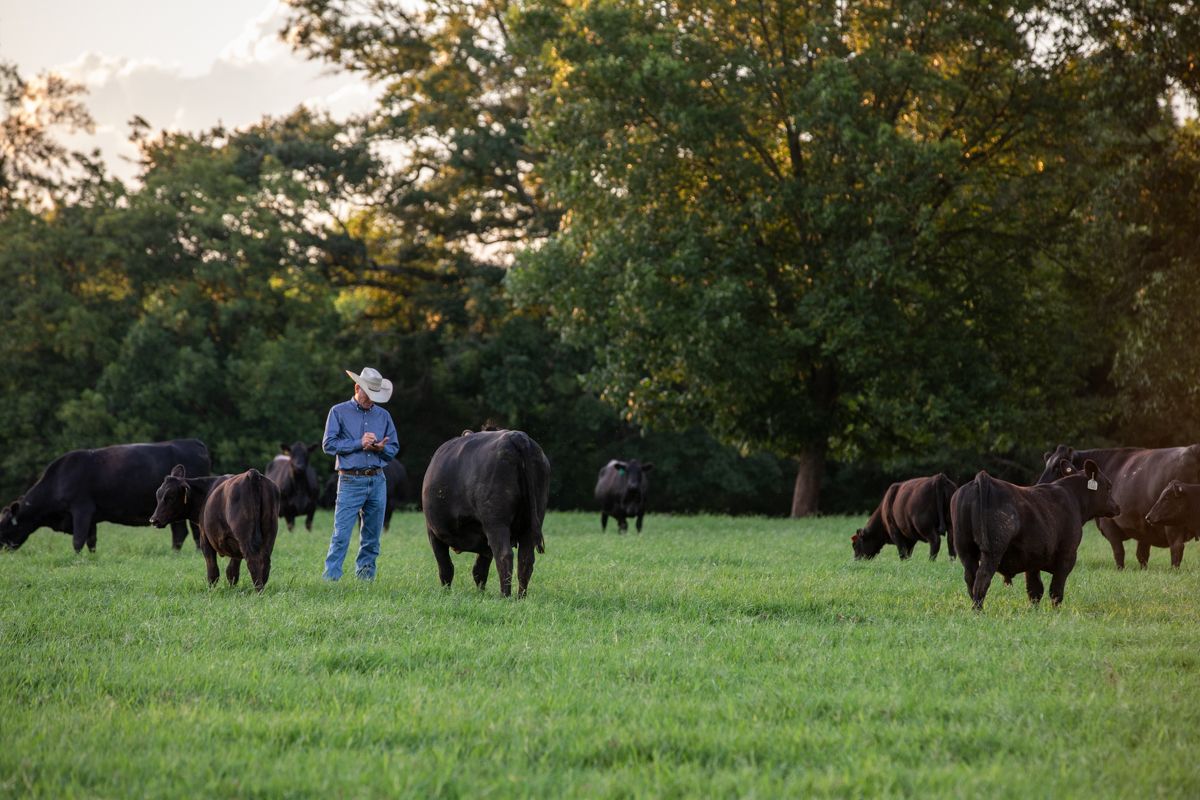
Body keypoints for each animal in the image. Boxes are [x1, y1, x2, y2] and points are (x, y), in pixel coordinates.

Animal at [0, 438, 211, 556]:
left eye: (4, 526)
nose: (2, 549)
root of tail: (193, 442)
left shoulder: (81, 509)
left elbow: (78, 540)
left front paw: (76, 559)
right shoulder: (92, 517)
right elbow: (91, 540)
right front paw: (91, 557)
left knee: (193, 532)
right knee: (179, 533)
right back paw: (174, 553)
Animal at [148, 465, 279, 592]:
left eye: (170, 497)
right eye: (158, 495)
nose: (154, 520)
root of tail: (252, 473)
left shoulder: (205, 539)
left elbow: (213, 571)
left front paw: (210, 591)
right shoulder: (235, 546)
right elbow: (232, 571)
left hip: (245, 538)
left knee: (253, 561)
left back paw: (258, 591)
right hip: (269, 536)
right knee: (265, 562)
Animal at [422, 431, 552, 594]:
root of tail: (516, 435)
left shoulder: (433, 532)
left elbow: (446, 567)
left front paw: (446, 592)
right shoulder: (484, 543)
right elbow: (479, 569)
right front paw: (481, 594)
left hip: (496, 523)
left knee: (504, 556)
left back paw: (505, 595)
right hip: (530, 523)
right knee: (525, 560)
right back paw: (520, 596)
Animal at [945, 460, 1123, 609]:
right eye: (1108, 486)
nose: (1117, 507)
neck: (1074, 498)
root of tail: (982, 479)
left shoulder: (1033, 559)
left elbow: (1035, 589)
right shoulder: (1067, 555)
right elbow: (1055, 590)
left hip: (966, 551)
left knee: (971, 579)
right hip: (993, 550)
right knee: (982, 578)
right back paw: (979, 611)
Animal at [1032, 443, 1200, 568]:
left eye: (1056, 467)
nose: (1039, 487)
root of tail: (1192, 448)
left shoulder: (1110, 525)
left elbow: (1119, 553)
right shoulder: (1144, 527)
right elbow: (1142, 555)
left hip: (1173, 523)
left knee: (1176, 547)